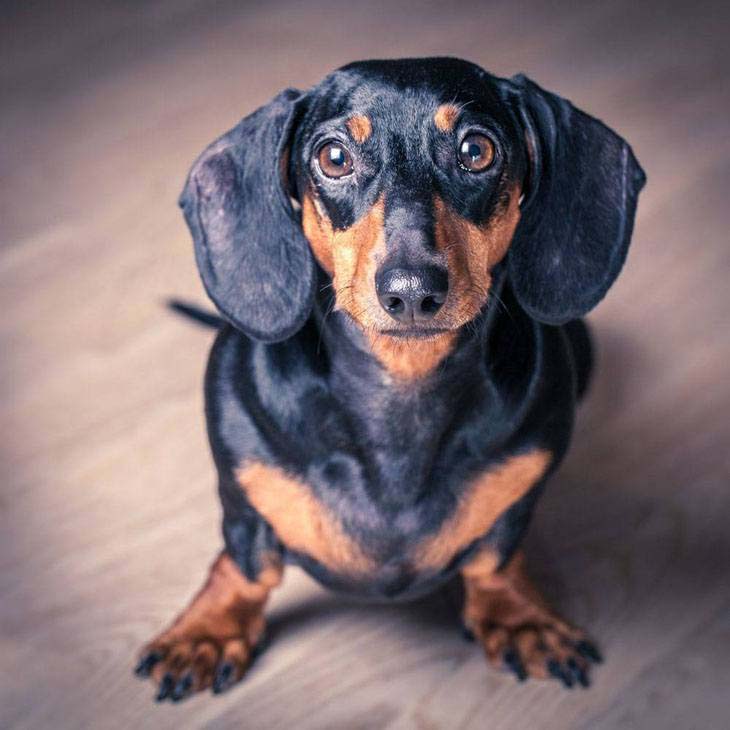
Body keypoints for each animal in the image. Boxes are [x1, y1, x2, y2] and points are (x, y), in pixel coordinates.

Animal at [135, 55, 644, 700]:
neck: (400, 387)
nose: (411, 291)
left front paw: (519, 616)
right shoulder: (243, 494)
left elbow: (496, 558)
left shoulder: (523, 482)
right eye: (334, 157)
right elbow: (246, 564)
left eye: (476, 150)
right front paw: (207, 629)